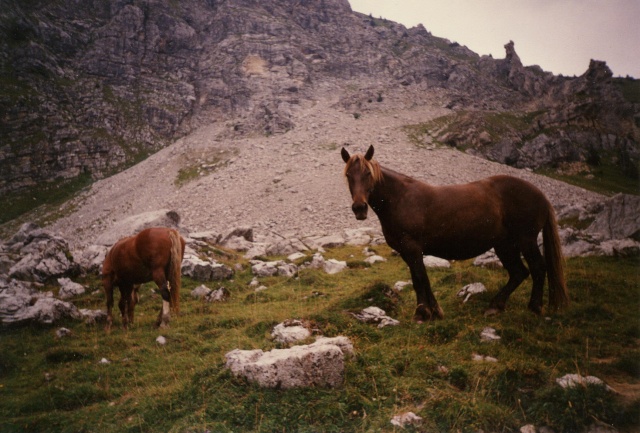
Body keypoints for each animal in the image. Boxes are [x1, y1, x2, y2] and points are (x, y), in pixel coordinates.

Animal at [342, 146, 568, 320]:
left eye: (368, 174)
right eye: (348, 176)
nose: (359, 208)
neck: (401, 199)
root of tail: (539, 194)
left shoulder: (413, 249)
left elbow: (418, 279)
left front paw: (422, 313)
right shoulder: (408, 252)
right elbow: (422, 278)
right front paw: (435, 312)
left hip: (526, 241)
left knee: (537, 268)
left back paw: (534, 307)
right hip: (504, 245)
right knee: (519, 272)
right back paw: (495, 306)